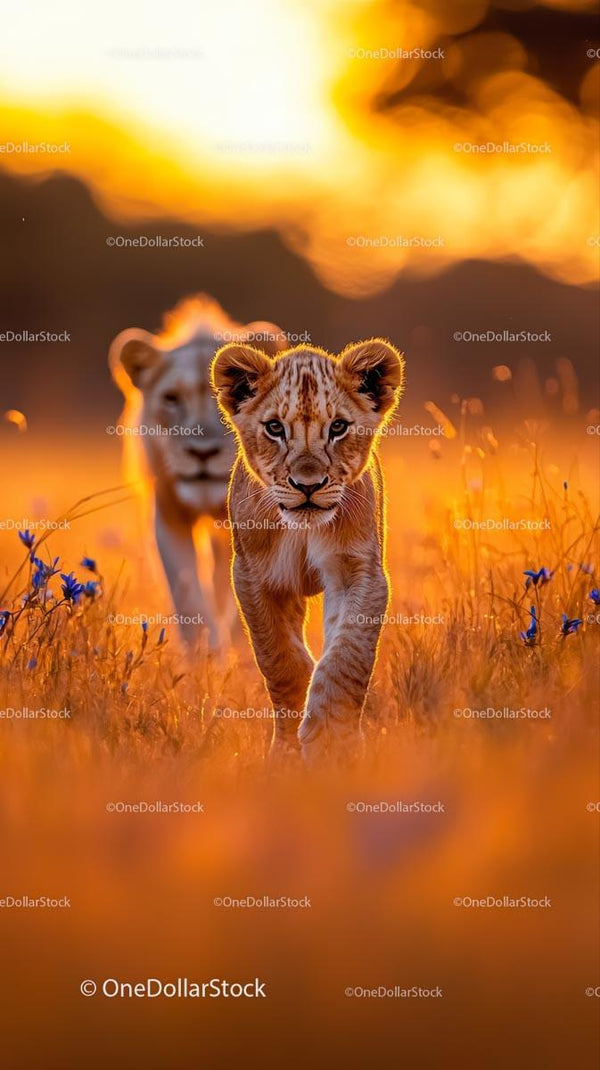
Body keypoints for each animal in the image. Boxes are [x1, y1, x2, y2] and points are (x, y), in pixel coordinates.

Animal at [211, 336, 404, 762]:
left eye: (338, 427)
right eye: (274, 428)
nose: (308, 485)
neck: (303, 531)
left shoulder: (360, 571)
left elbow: (346, 655)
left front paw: (330, 739)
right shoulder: (254, 577)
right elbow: (280, 659)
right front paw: (286, 750)